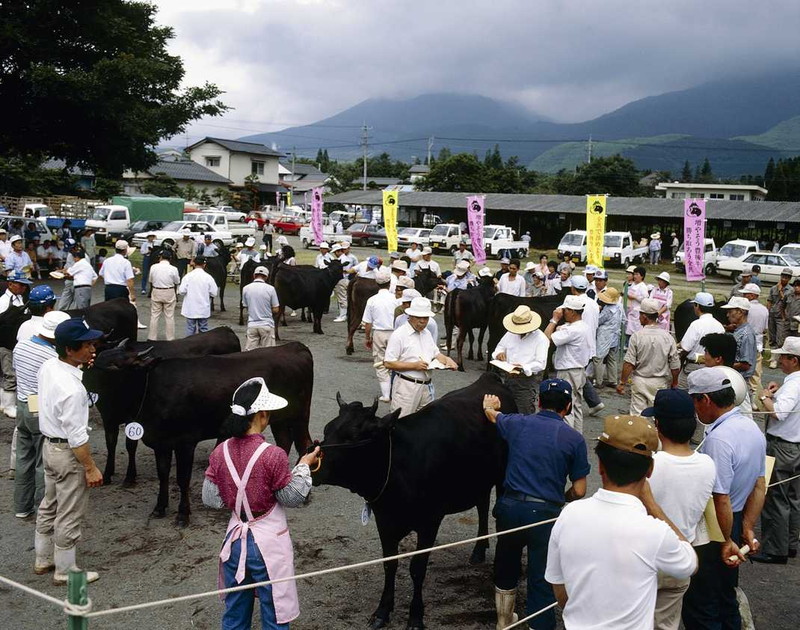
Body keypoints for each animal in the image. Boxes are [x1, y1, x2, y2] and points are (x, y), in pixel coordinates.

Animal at [85, 344, 312, 524]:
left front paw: (183, 514)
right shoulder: (161, 441)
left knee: (305, 444)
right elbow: (163, 474)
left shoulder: (185, 442)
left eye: (114, 366)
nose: (84, 381)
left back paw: (305, 495)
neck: (151, 390)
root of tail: (294, 346)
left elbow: (182, 478)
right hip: (279, 419)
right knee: (284, 442)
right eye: (97, 358)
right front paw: (160, 507)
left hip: (299, 415)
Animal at [98, 328, 241, 486]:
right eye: (100, 355)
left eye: (114, 366)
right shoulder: (107, 416)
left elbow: (130, 444)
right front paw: (107, 475)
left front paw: (129, 477)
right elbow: (111, 442)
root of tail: (225, 329)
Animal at [310, 372, 516, 630]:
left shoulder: (430, 521)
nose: (311, 465)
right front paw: (382, 611)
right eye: (328, 429)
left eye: (355, 436)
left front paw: (416, 617)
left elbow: (417, 569)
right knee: (481, 504)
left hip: (502, 476)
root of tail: (490, 378)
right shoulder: (384, 519)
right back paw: (479, 549)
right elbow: (390, 564)